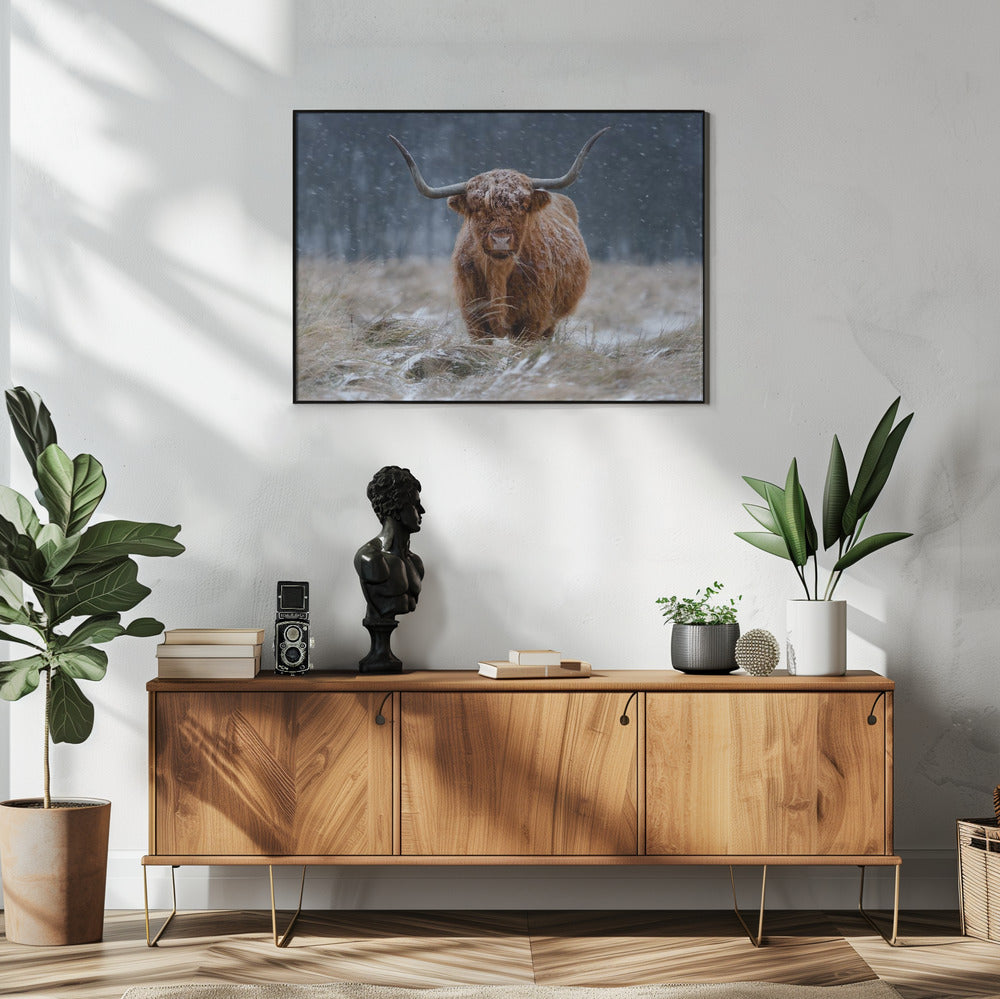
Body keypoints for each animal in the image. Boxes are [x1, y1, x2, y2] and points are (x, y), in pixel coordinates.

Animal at [389, 128, 610, 343]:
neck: (499, 275)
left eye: (523, 206)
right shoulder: (474, 318)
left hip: (551, 321)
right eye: (477, 208)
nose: (501, 240)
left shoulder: (532, 320)